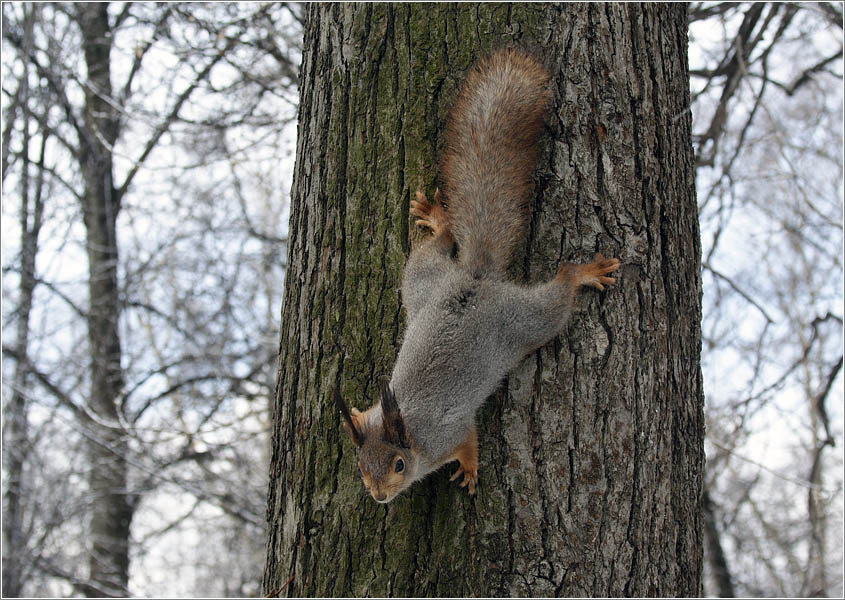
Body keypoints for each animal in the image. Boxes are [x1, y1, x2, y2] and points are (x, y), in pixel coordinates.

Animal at [335, 49, 620, 503]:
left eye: (398, 465)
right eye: (361, 467)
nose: (379, 496)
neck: (410, 430)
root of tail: (474, 278)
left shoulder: (449, 432)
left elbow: (468, 440)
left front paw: (469, 469)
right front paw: (360, 413)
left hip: (523, 319)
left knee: (558, 294)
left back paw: (583, 274)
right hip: (421, 281)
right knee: (435, 247)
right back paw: (438, 220)